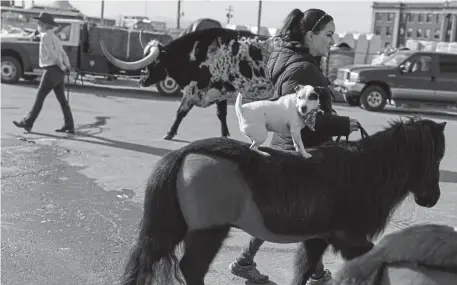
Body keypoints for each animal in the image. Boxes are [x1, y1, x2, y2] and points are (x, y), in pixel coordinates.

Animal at [120, 116, 446, 282]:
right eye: (437, 155)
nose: (432, 198)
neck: (362, 171)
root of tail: (185, 153)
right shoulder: (349, 237)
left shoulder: (318, 237)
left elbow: (304, 270)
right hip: (209, 231)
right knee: (192, 268)